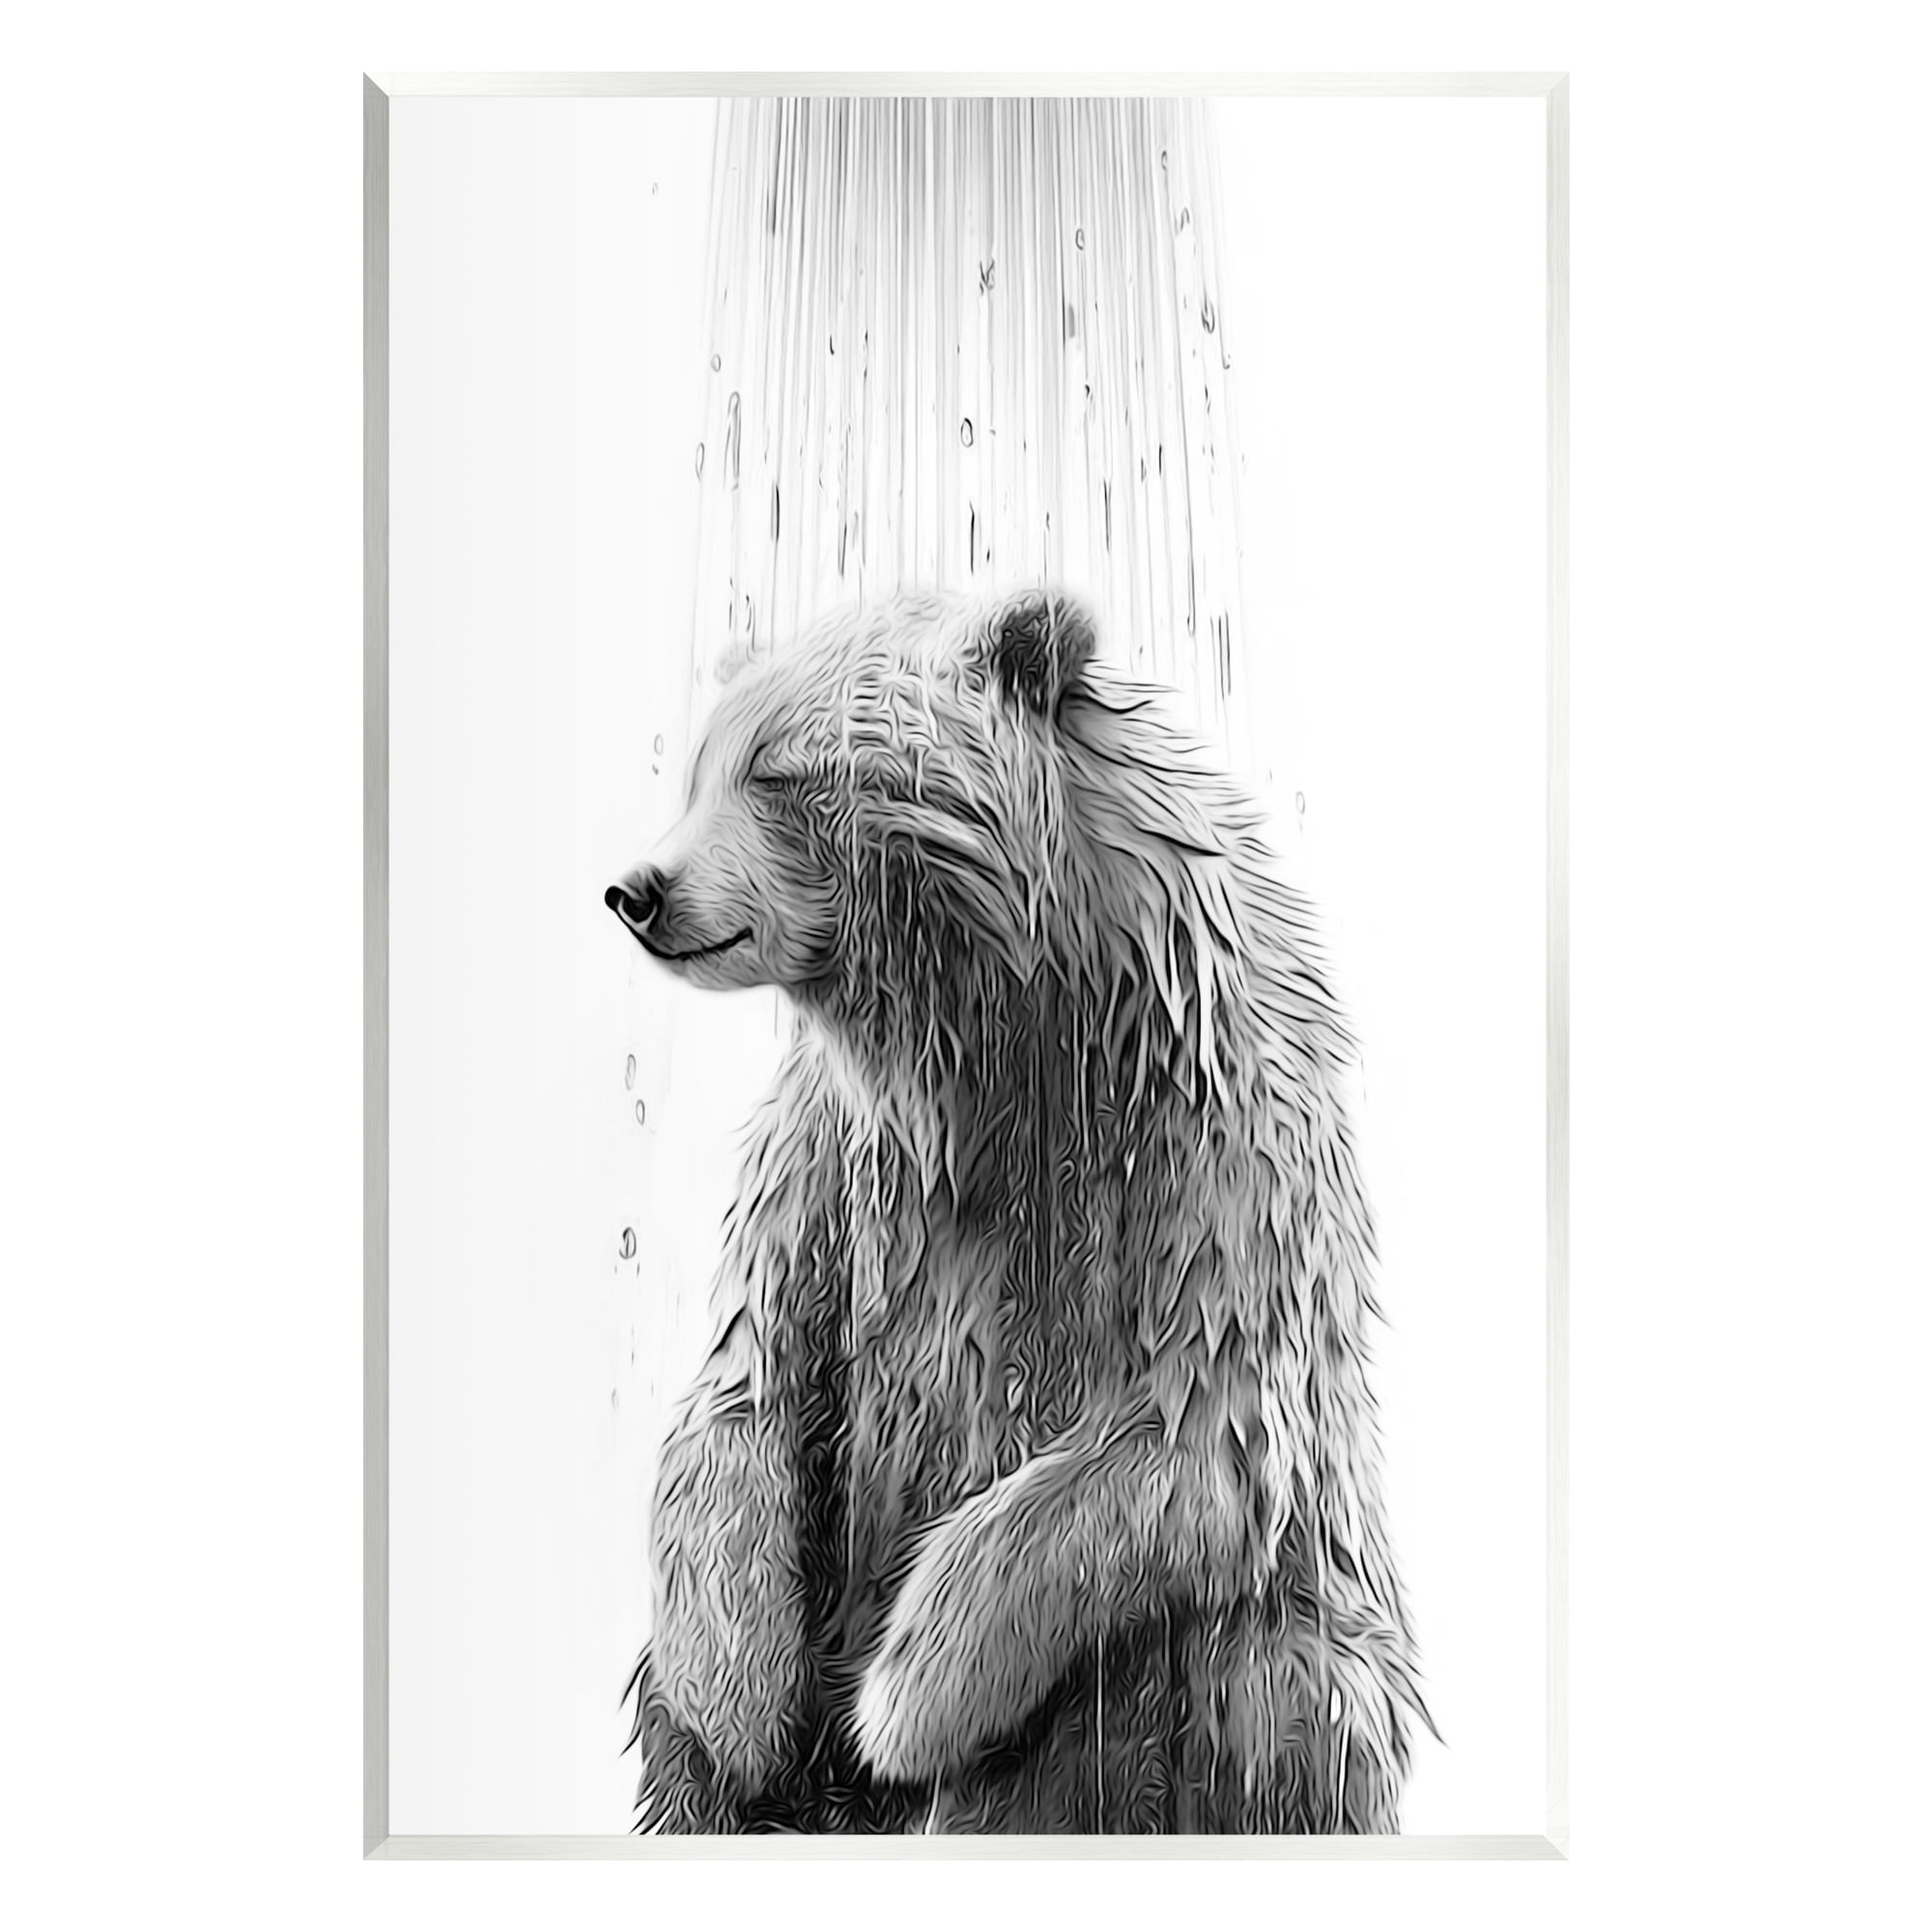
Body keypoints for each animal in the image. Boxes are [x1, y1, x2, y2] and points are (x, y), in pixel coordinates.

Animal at [606, 587, 1427, 1834]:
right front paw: (746, 1706)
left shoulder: (1201, 1134)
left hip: (1270, 1653)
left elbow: (1184, 1431)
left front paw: (900, 1698)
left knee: (1265, 1692)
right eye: (697, 768)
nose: (637, 889)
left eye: (778, 771)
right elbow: (745, 1384)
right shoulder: (839, 1161)